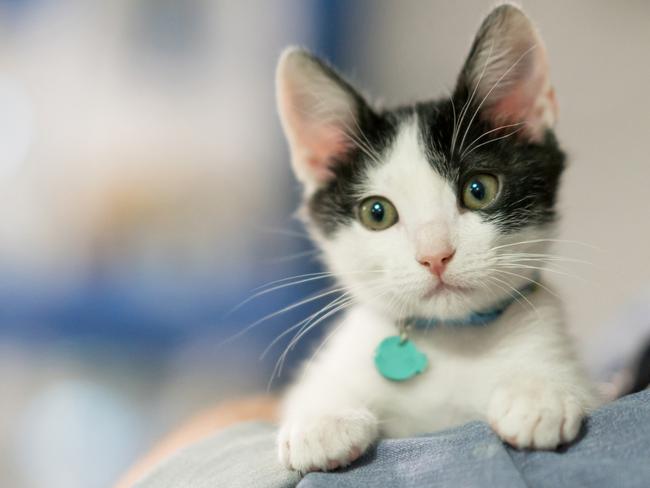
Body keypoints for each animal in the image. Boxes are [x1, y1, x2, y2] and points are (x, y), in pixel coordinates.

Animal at [270, 1, 596, 470]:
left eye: (479, 190)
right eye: (377, 212)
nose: (435, 255)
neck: (449, 342)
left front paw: (539, 393)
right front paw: (324, 419)